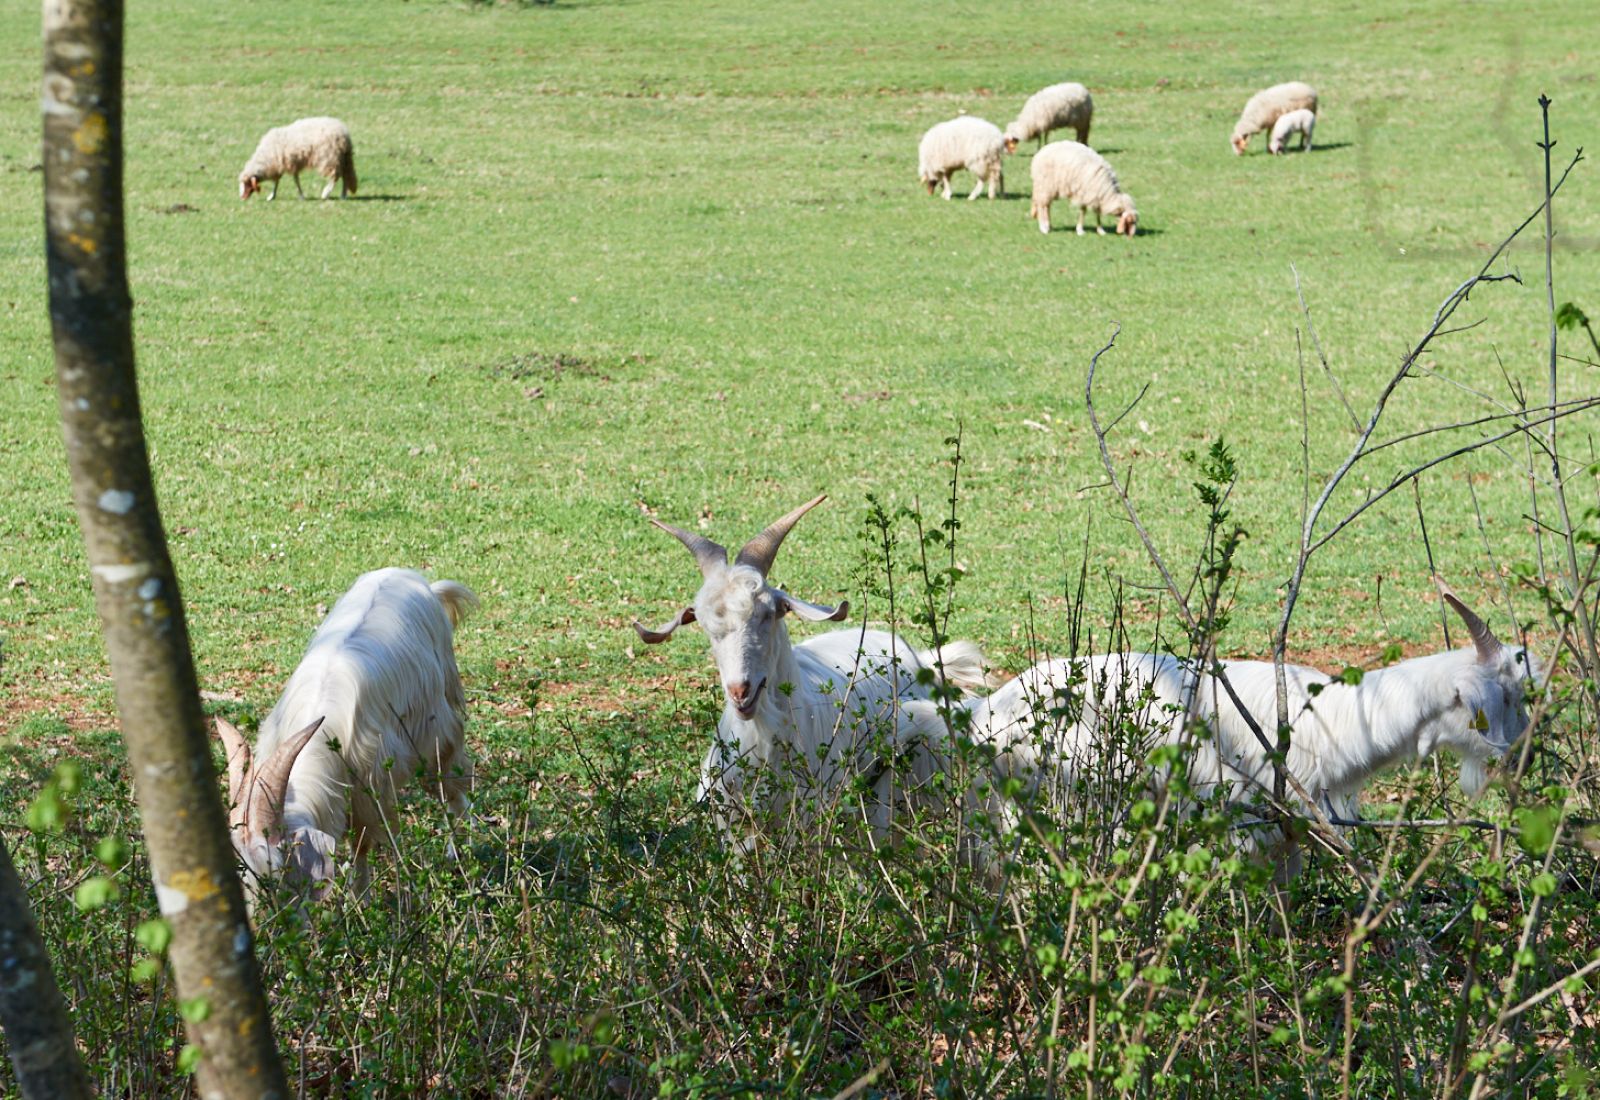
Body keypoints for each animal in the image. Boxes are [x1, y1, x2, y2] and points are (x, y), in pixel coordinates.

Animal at [215, 568, 477, 907]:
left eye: (278, 875)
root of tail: (416, 580)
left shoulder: (370, 782)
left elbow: (363, 841)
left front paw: (362, 899)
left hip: (437, 721)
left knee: (448, 779)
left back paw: (460, 848)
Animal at [633, 495, 996, 859]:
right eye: (705, 625)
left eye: (770, 613)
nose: (740, 691)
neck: (764, 740)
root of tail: (921, 659)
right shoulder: (734, 833)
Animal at [931, 583, 1538, 874]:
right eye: (1501, 699)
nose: (1522, 756)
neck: (1342, 716)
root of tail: (986, 710)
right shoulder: (1243, 822)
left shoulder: (1292, 831)